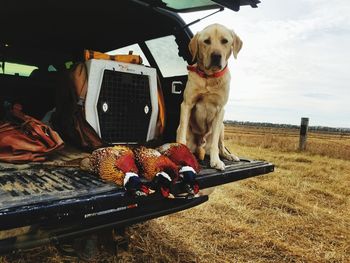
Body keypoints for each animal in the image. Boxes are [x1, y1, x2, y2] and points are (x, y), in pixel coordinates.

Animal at [176, 24, 242, 171]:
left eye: (224, 41)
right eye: (206, 41)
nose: (216, 56)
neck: (210, 78)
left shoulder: (220, 110)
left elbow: (215, 146)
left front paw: (216, 161)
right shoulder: (187, 104)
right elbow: (181, 137)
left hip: (222, 126)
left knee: (221, 146)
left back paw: (229, 156)